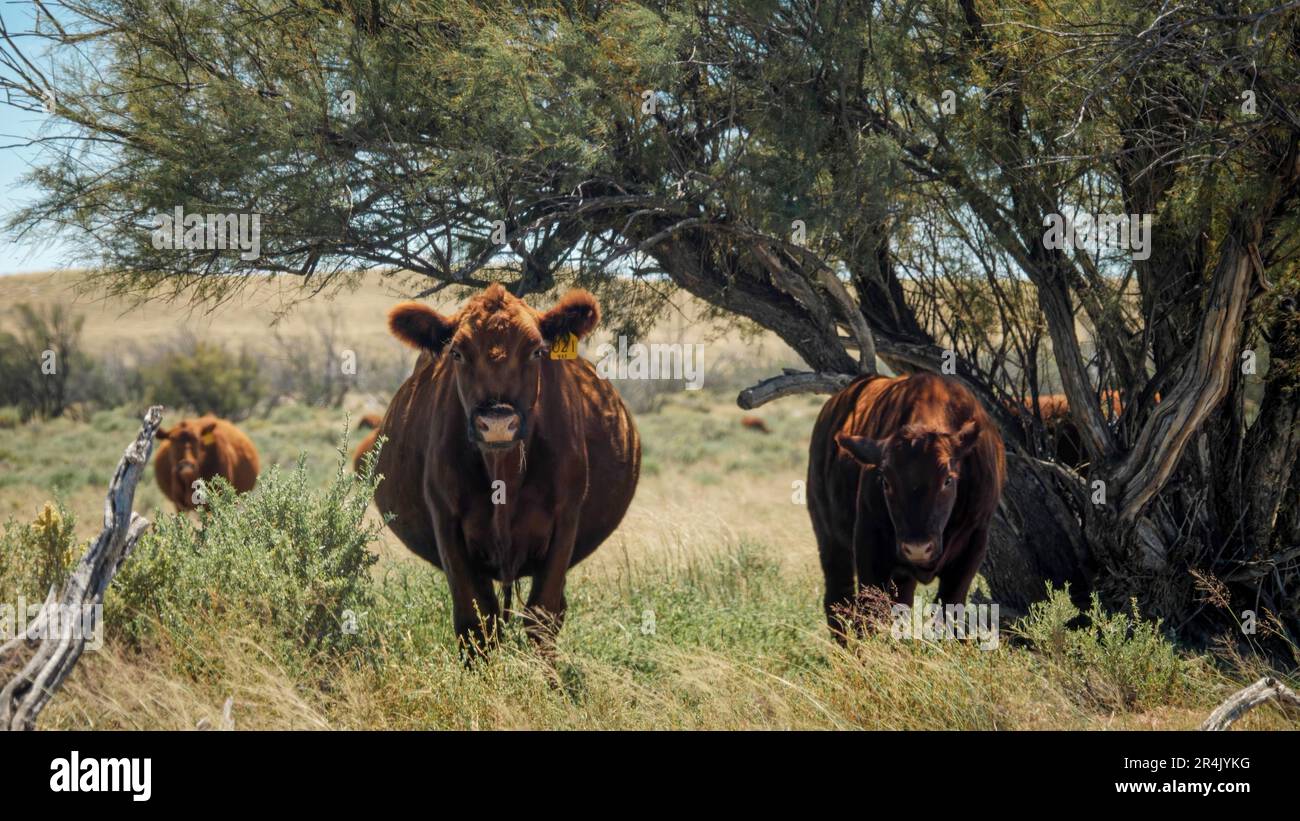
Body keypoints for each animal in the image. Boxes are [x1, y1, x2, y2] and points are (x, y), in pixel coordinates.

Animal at [374, 284, 641, 654]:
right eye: (457, 352)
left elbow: (542, 617)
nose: (497, 423)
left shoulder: (565, 523)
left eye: (536, 351)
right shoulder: (448, 525)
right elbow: (476, 623)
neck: (505, 474)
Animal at [807, 373, 1006, 639]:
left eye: (948, 480)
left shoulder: (973, 544)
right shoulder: (870, 546)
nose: (918, 549)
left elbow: (949, 612)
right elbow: (869, 613)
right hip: (830, 541)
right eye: (885, 481)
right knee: (839, 601)